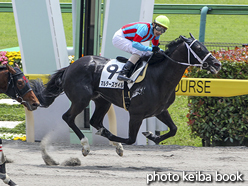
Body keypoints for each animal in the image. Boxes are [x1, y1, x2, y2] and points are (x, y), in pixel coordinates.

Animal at [30, 34, 221, 156]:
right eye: (198, 48)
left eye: (204, 46)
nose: (217, 64)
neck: (158, 77)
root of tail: (70, 66)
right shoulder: (136, 114)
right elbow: (130, 139)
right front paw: (115, 139)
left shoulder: (160, 110)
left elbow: (173, 130)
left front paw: (151, 136)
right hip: (81, 99)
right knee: (68, 117)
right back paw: (86, 146)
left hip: (102, 100)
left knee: (95, 121)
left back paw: (109, 140)